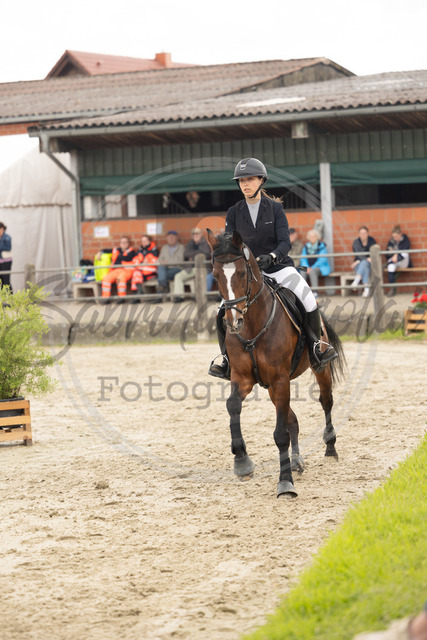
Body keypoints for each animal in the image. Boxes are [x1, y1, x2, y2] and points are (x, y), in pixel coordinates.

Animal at [207, 229, 346, 498]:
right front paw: (242, 462)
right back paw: (296, 460)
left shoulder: (281, 379)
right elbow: (233, 406)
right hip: (271, 387)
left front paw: (285, 483)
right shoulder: (243, 378)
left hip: (317, 369)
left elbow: (280, 434)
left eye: (242, 273)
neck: (253, 325)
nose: (233, 323)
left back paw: (330, 447)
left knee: (326, 402)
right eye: (216, 276)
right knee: (292, 420)